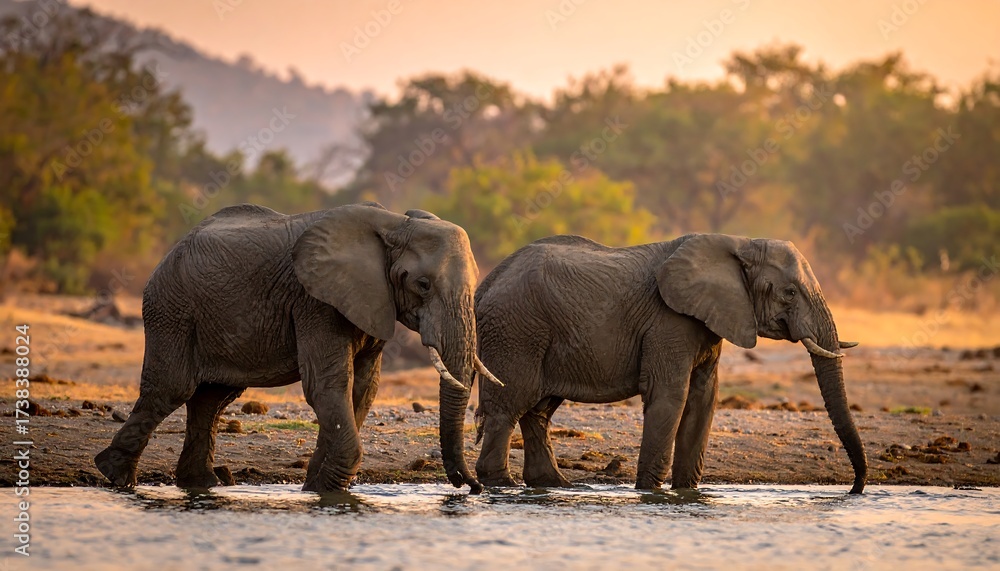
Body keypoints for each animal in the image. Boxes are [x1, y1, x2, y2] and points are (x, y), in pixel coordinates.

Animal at [95, 202, 501, 493]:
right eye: (422, 284)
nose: (471, 488)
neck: (395, 223)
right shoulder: (315, 302)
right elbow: (329, 386)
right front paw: (326, 492)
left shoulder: (372, 303)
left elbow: (362, 389)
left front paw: (315, 489)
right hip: (172, 309)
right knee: (172, 389)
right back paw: (117, 478)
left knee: (212, 399)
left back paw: (200, 486)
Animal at [473, 233, 867, 494]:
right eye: (789, 292)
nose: (854, 489)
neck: (739, 243)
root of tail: (485, 283)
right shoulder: (669, 321)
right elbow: (670, 397)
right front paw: (650, 493)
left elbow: (703, 400)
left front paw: (685, 493)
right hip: (516, 330)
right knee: (510, 405)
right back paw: (501, 485)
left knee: (537, 410)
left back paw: (555, 485)